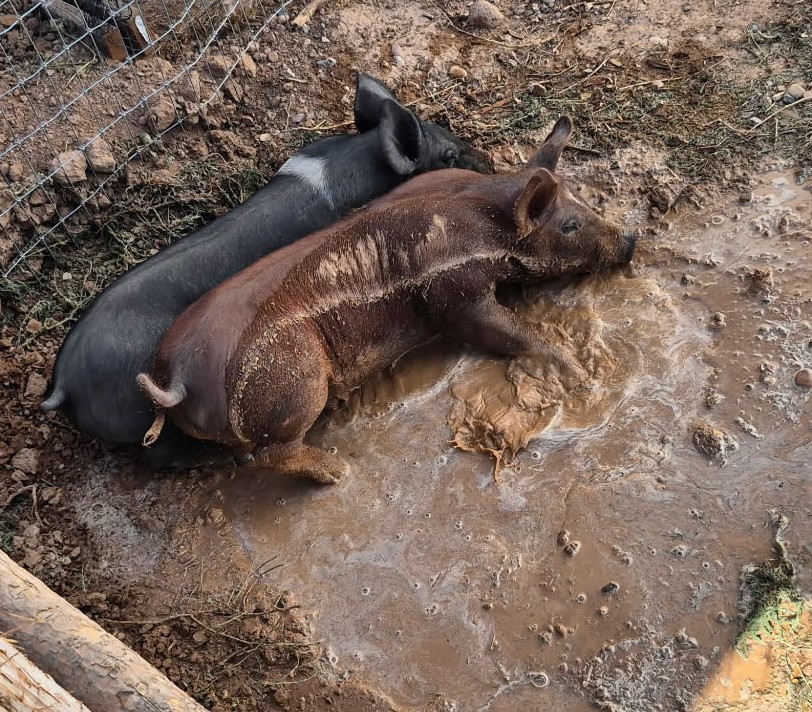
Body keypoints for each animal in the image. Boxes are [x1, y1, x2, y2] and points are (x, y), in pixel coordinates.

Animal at [137, 117, 637, 483]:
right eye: (569, 225)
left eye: (583, 200)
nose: (632, 239)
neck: (483, 225)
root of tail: (175, 380)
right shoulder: (454, 294)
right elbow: (503, 329)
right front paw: (579, 373)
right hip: (293, 384)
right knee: (269, 455)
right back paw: (339, 471)